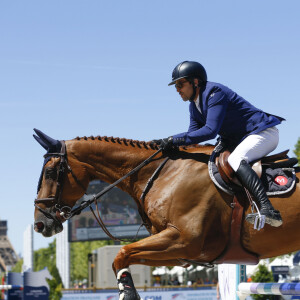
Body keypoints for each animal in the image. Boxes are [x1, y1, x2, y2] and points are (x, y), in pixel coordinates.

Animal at [33, 129, 300, 300]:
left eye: (50, 172)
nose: (40, 224)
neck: (162, 174)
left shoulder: (184, 239)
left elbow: (121, 253)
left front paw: (128, 293)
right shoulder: (179, 253)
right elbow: (125, 256)